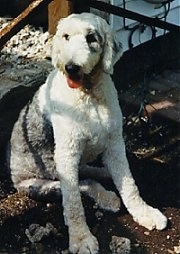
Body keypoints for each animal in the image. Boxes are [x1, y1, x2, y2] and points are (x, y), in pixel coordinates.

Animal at [7, 12, 167, 254]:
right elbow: (73, 202)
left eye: (91, 38)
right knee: (81, 184)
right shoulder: (67, 153)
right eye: (65, 36)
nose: (71, 67)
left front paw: (145, 212)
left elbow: (129, 185)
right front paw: (81, 238)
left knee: (88, 173)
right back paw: (106, 196)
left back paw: (105, 176)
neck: (89, 94)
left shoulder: (115, 144)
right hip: (42, 183)